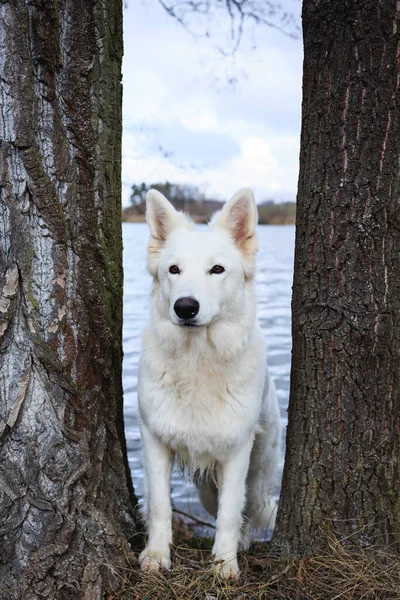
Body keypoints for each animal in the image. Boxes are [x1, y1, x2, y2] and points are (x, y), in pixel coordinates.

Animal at [138, 186, 282, 576]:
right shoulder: (155, 440)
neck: (197, 360)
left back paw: (243, 543)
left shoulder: (236, 452)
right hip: (204, 485)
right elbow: (159, 504)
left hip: (257, 470)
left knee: (247, 505)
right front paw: (157, 555)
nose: (185, 307)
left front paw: (224, 564)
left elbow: (231, 512)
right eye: (173, 270)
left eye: (217, 270)